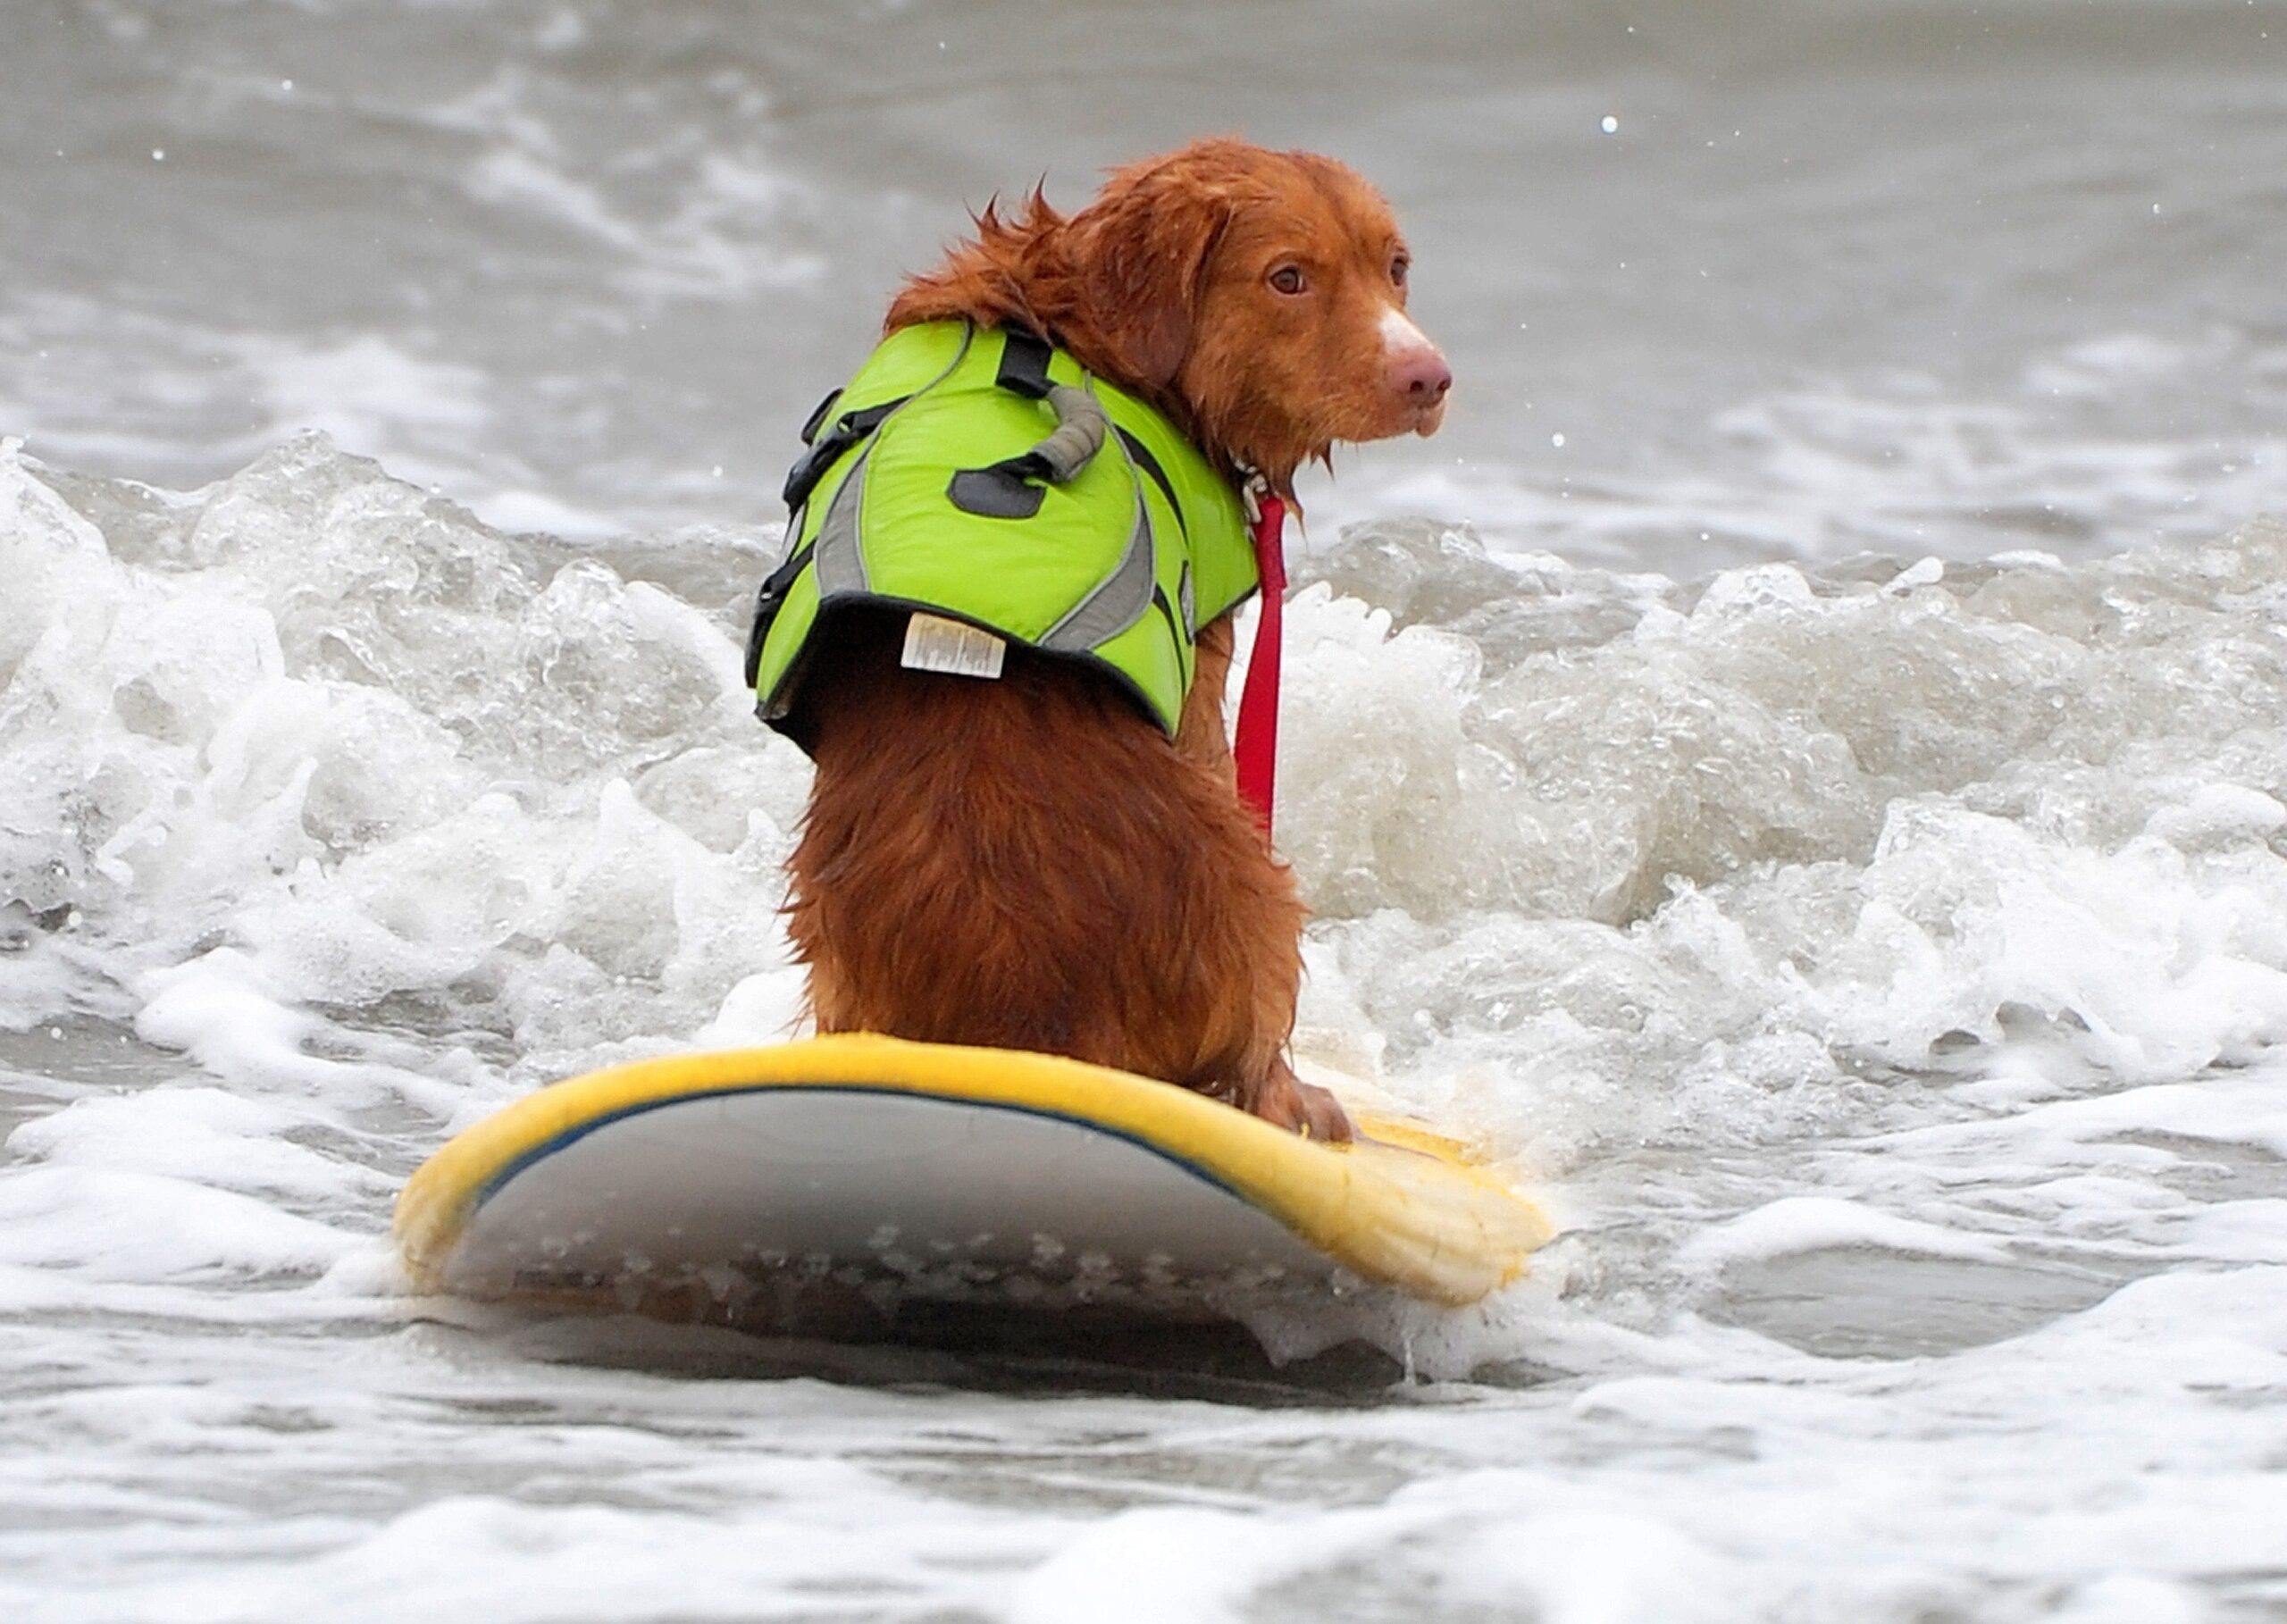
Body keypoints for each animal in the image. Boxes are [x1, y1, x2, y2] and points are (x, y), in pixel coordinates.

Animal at [782, 143, 1445, 1143]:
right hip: (1255, 888)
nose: (1428, 378)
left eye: (1395, 266)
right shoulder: (1204, 679)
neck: (1083, 332)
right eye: (1288, 277)